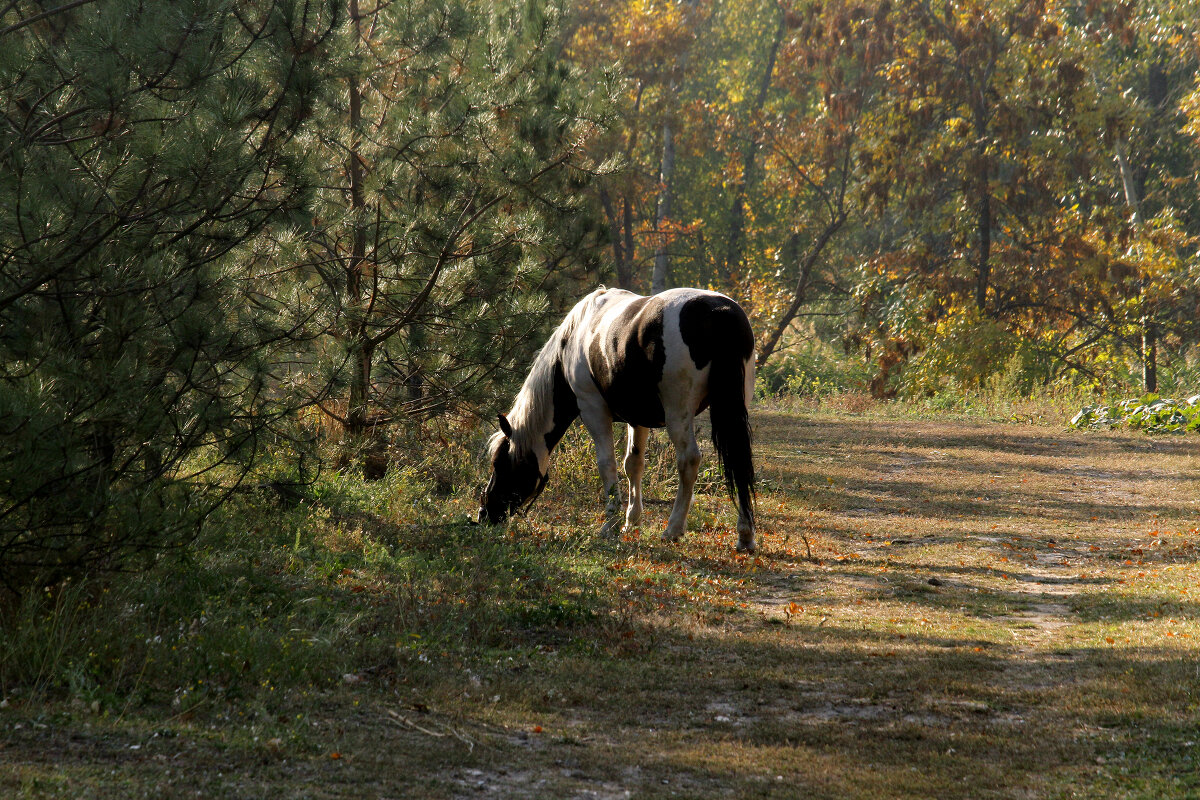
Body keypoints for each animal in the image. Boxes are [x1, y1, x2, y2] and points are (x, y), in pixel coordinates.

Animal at [477, 284, 758, 554]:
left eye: (499, 464)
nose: (485, 513)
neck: (574, 338)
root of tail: (719, 312)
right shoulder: (637, 417)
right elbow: (633, 464)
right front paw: (630, 522)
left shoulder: (593, 410)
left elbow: (607, 465)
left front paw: (610, 524)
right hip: (734, 408)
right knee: (739, 460)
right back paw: (745, 535)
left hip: (678, 415)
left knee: (689, 460)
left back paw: (673, 529)